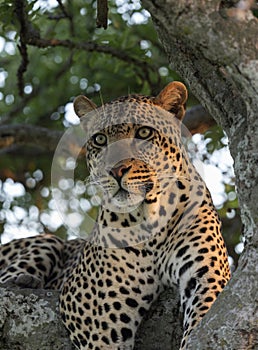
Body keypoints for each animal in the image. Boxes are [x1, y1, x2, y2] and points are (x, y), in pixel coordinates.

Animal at [0, 82, 230, 350]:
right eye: (100, 139)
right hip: (47, 242)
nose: (116, 170)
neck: (151, 218)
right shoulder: (95, 314)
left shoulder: (208, 277)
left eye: (143, 133)